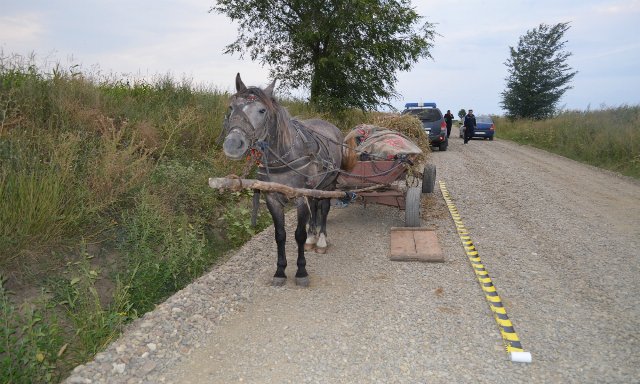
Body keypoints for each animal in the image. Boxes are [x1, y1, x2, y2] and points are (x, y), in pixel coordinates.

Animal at [222, 73, 358, 286]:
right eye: (231, 107)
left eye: (262, 110)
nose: (233, 144)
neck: (284, 157)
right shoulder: (272, 198)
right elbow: (280, 235)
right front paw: (280, 271)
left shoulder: (300, 198)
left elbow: (298, 235)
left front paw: (301, 271)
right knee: (315, 206)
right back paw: (313, 237)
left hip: (329, 183)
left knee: (324, 208)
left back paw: (320, 240)